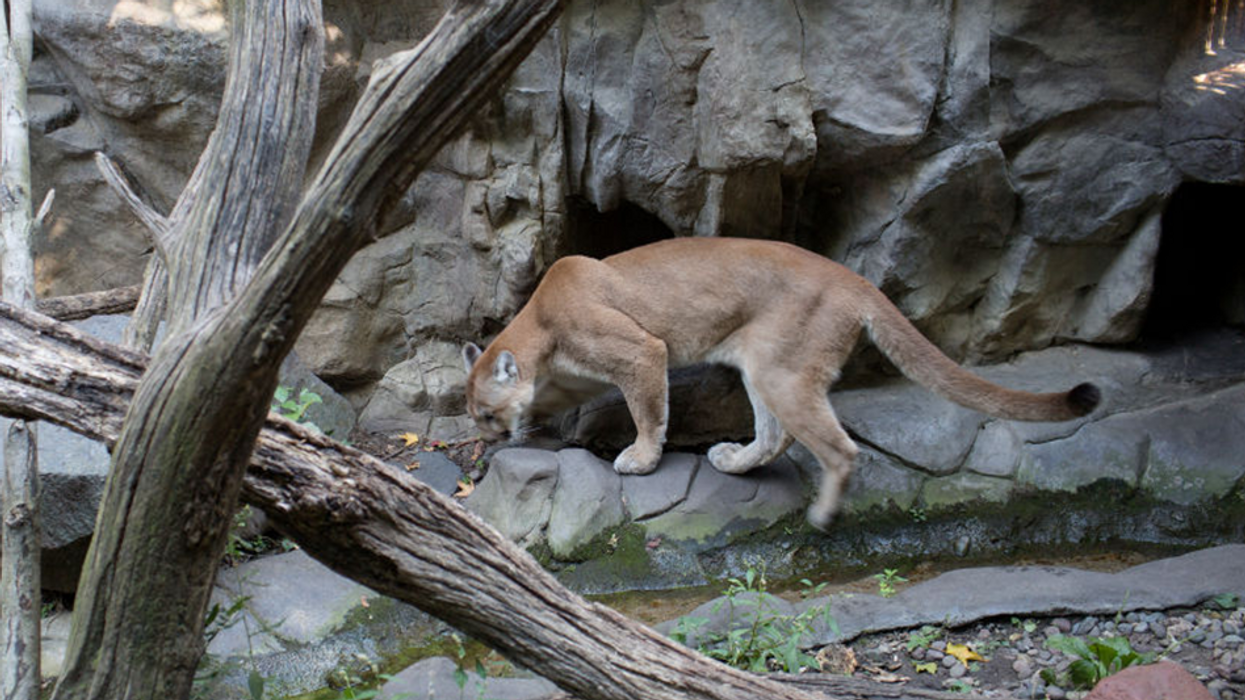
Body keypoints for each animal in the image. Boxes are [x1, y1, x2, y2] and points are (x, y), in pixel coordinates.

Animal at [460, 236, 1100, 525]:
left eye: (486, 413)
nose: (487, 440)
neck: (540, 321)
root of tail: (854, 279)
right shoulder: (576, 375)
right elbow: (559, 400)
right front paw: (547, 432)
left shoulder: (641, 351)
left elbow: (648, 411)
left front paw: (639, 459)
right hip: (761, 368)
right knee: (775, 436)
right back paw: (734, 461)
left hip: (780, 371)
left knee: (836, 447)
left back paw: (821, 513)